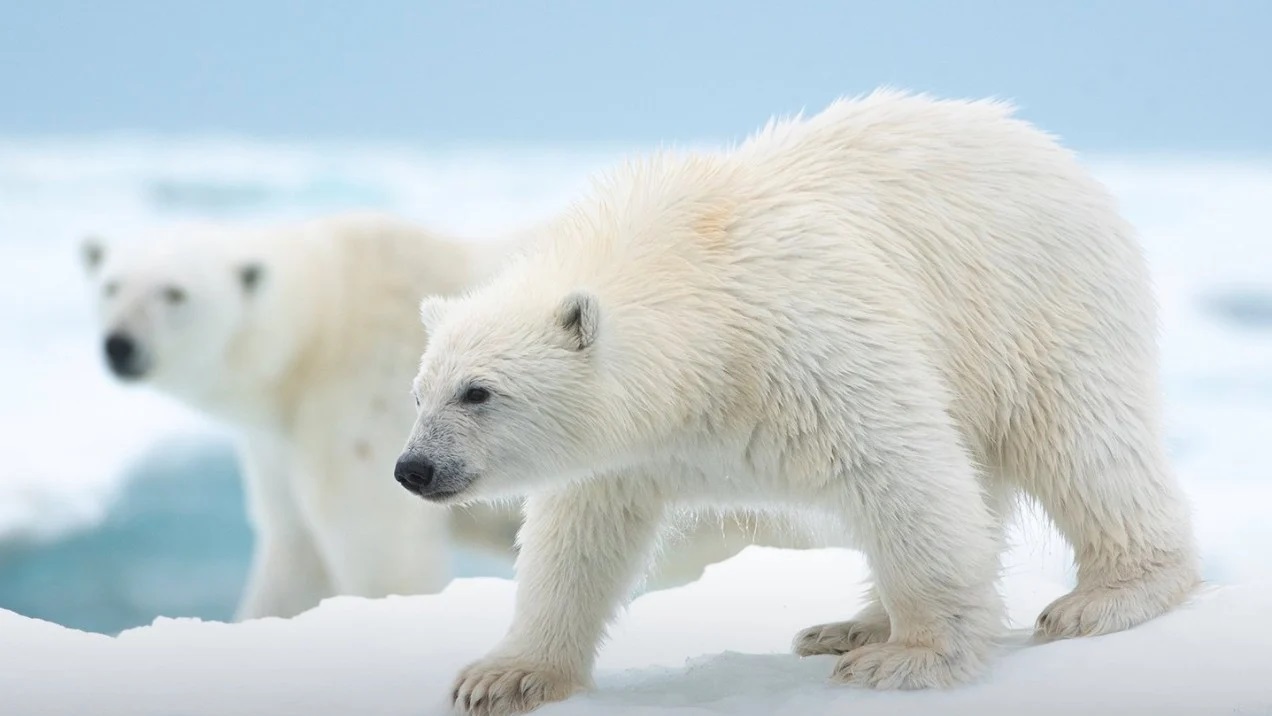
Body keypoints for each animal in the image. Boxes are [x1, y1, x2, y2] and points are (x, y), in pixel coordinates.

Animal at [79, 211, 788, 623]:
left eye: (174, 293)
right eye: (110, 284)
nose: (119, 345)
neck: (322, 325)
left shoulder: (359, 401)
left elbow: (379, 550)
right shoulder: (281, 443)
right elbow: (293, 550)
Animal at [401, 90, 1195, 716]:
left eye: (478, 391)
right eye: (418, 392)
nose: (413, 469)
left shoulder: (807, 344)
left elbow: (901, 471)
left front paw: (911, 657)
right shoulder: (631, 449)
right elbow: (578, 536)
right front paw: (503, 676)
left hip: (1035, 306)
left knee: (1079, 441)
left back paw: (1107, 596)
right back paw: (849, 624)